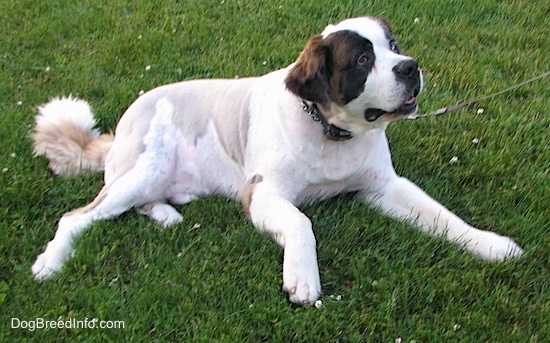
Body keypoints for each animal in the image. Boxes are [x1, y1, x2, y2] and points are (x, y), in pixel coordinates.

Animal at [32, 17, 524, 306]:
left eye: (395, 44)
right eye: (362, 58)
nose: (410, 66)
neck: (330, 130)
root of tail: (123, 125)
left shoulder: (383, 186)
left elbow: (442, 215)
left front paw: (491, 244)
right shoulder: (262, 193)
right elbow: (300, 221)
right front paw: (303, 279)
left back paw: (167, 214)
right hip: (144, 167)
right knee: (77, 216)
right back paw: (51, 262)